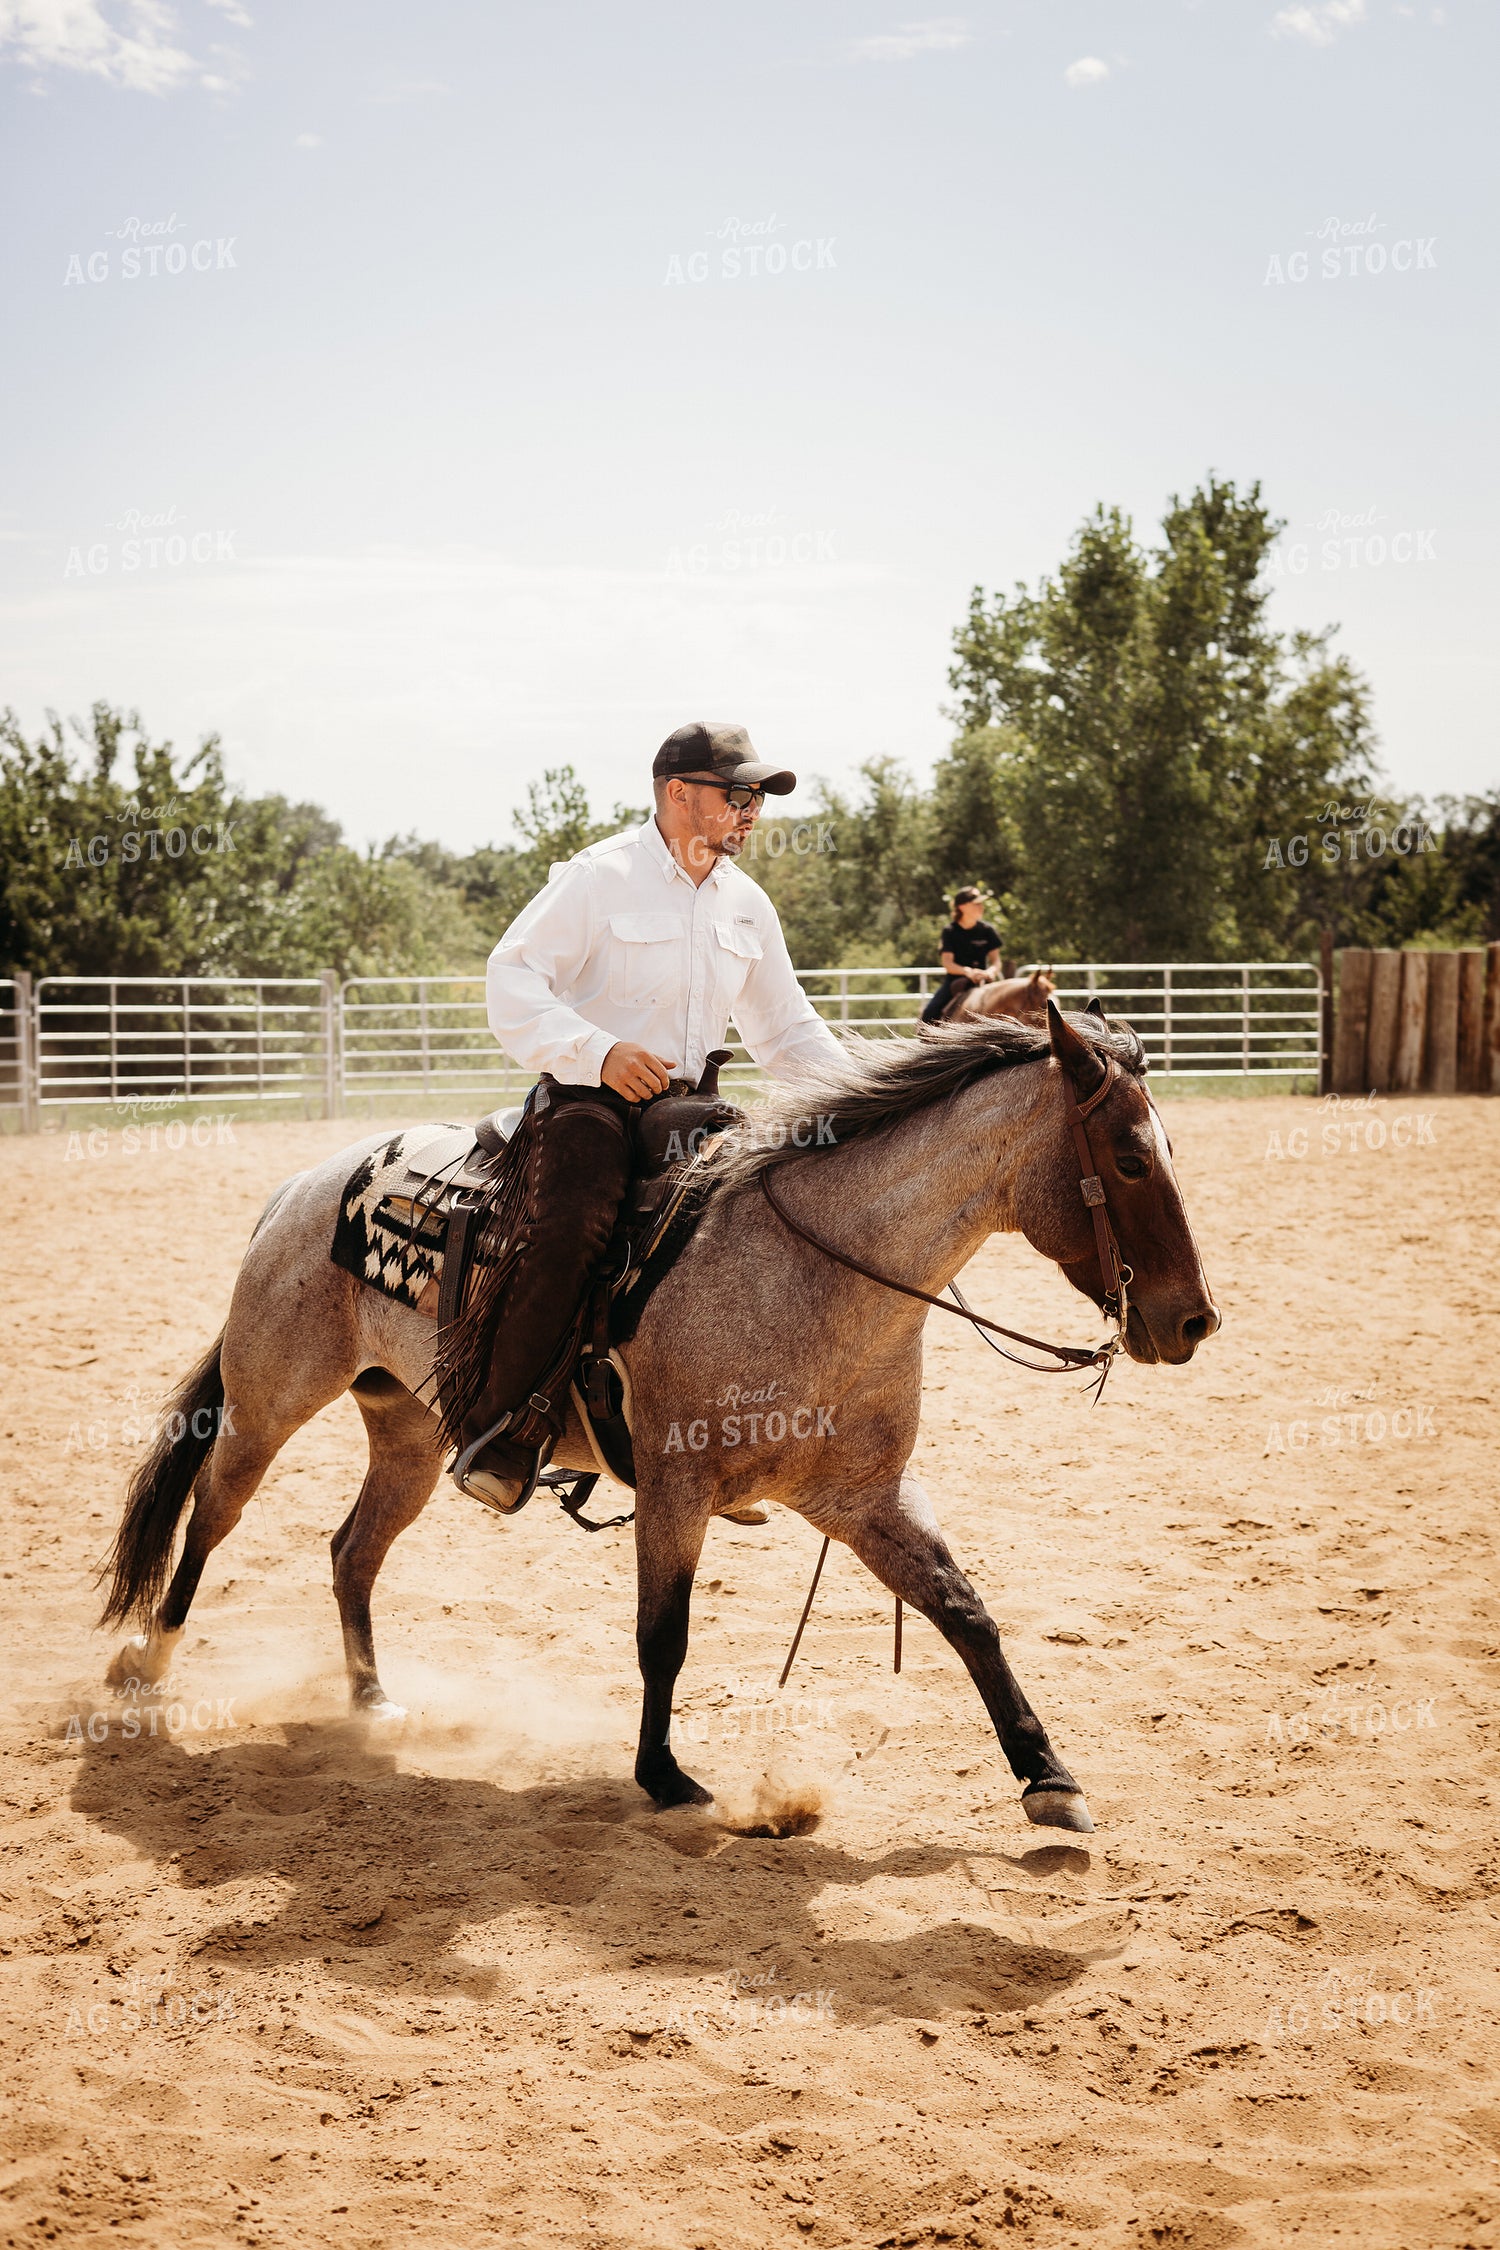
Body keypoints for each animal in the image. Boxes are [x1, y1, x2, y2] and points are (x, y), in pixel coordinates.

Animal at [98, 1002, 1218, 1837]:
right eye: (1128, 1159)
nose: (1193, 1319)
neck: (810, 1269)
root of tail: (301, 1187)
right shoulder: (677, 1487)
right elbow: (663, 1635)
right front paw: (665, 1776)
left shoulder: (862, 1495)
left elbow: (963, 1608)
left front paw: (1048, 1776)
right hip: (269, 1399)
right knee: (214, 1513)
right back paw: (144, 1671)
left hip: (410, 1434)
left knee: (351, 1551)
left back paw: (372, 1700)